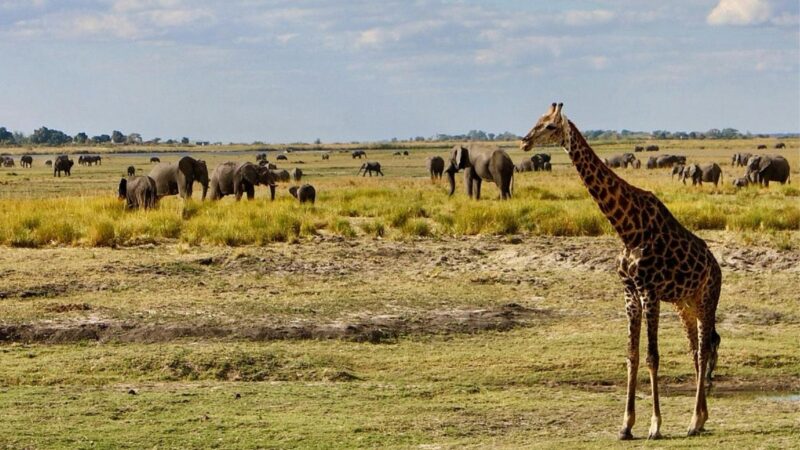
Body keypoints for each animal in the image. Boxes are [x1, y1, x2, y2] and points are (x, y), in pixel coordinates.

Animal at [520, 103, 721, 440]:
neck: (627, 229)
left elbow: (652, 356)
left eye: (549, 126)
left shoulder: (649, 291)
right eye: (537, 120)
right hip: (685, 304)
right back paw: (701, 419)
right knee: (695, 350)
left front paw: (655, 426)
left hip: (707, 299)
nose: (524, 141)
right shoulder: (629, 292)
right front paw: (626, 426)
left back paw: (694, 421)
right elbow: (632, 356)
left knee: (704, 350)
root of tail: (717, 268)